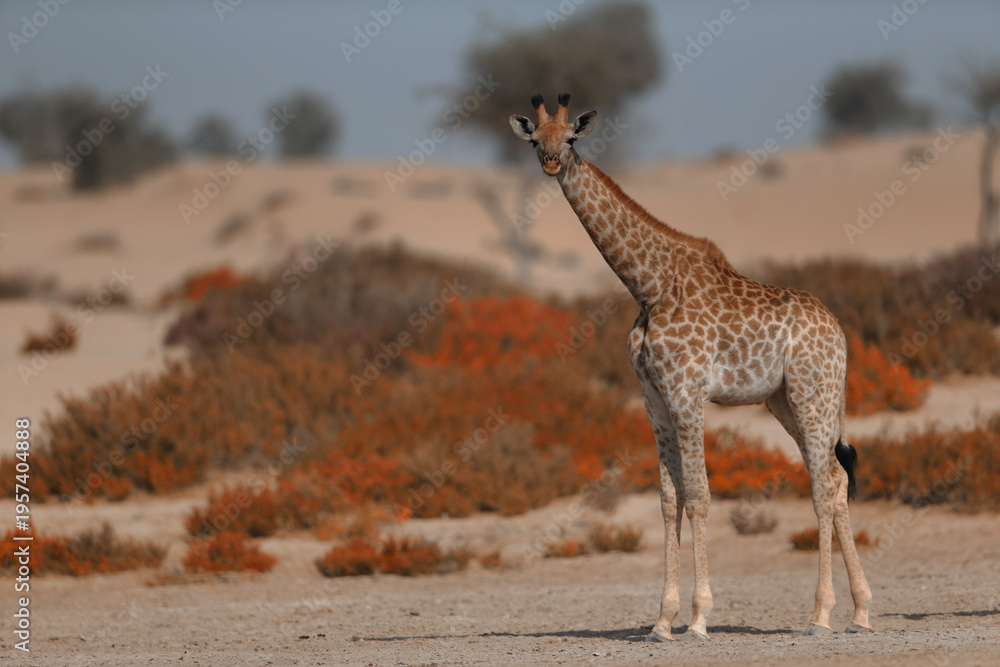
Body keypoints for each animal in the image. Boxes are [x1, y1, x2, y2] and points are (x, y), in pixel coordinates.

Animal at [510, 93, 872, 641]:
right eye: (535, 139)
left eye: (571, 138)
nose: (552, 163)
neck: (650, 287)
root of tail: (840, 333)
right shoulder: (654, 399)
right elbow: (668, 499)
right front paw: (662, 621)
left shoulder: (687, 392)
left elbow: (699, 495)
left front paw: (700, 618)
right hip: (785, 401)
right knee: (834, 478)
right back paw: (860, 611)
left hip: (813, 394)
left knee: (824, 482)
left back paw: (821, 614)